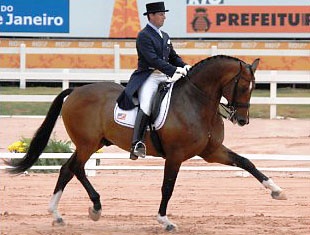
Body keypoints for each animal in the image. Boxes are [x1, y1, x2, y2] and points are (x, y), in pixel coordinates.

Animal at [5, 55, 286, 231]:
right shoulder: (175, 155)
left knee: (68, 169)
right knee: (76, 168)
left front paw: (276, 191)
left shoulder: (212, 151)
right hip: (87, 143)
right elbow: (167, 188)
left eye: (254, 87)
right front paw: (165, 220)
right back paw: (92, 207)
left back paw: (62, 214)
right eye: (243, 85)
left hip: (94, 143)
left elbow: (246, 163)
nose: (242, 120)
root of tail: (75, 90)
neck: (197, 102)